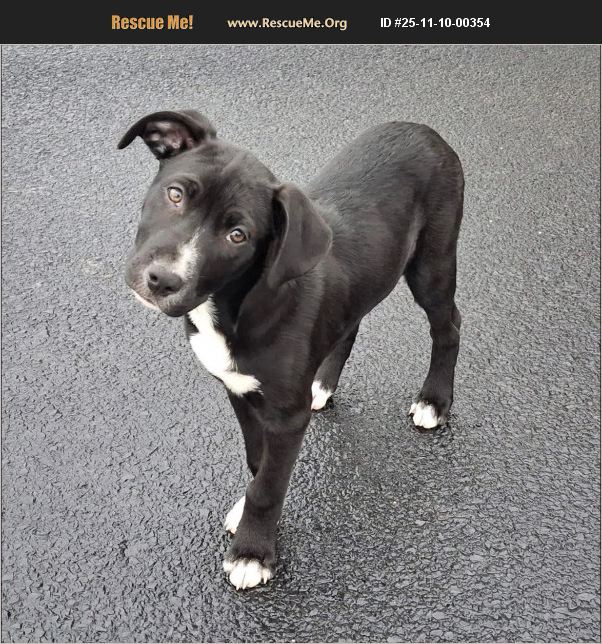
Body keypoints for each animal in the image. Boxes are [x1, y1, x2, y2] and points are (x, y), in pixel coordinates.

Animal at [118, 110, 464, 589]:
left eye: (238, 235)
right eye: (175, 194)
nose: (162, 280)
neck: (236, 304)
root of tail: (424, 130)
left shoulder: (286, 417)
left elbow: (269, 485)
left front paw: (252, 552)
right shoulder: (239, 389)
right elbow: (256, 461)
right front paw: (248, 513)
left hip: (433, 261)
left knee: (448, 327)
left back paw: (434, 400)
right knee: (350, 325)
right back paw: (322, 384)